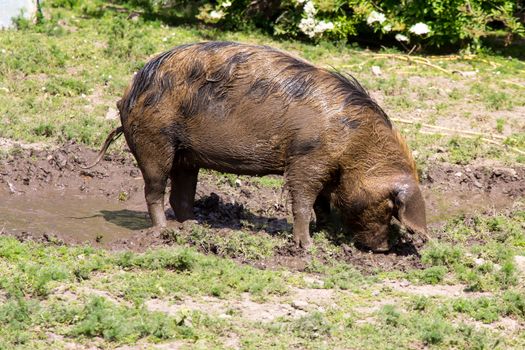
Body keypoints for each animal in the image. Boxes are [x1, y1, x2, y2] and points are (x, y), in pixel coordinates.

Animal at [86, 41, 428, 252]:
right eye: (389, 204)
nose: (383, 249)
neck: (355, 145)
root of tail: (127, 93)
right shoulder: (306, 158)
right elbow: (303, 200)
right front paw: (308, 246)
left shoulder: (327, 169)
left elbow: (322, 203)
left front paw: (325, 232)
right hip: (154, 140)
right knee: (154, 191)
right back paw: (164, 232)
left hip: (185, 155)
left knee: (180, 195)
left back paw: (194, 227)